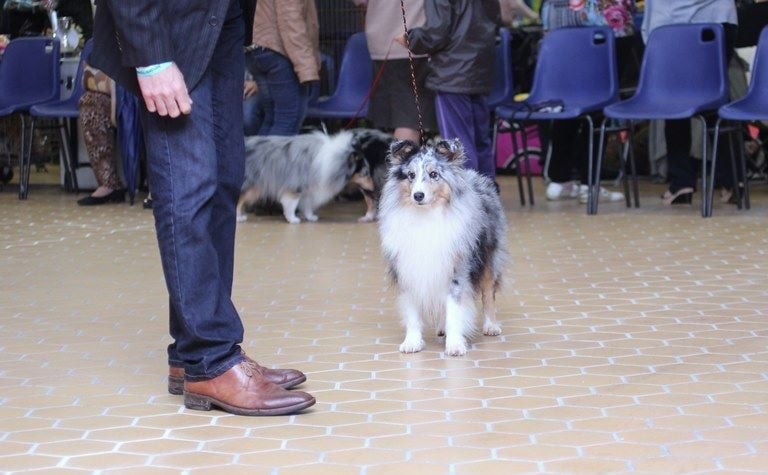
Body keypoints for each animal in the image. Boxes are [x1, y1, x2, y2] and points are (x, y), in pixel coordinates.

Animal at [238, 131, 374, 224]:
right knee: (239, 201)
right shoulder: (295, 186)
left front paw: (310, 217)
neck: (332, 160)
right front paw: (293, 219)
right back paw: (239, 218)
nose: (374, 187)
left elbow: (308, 204)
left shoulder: (310, 188)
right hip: (252, 186)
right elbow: (291, 204)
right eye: (365, 173)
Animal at [380, 139, 510, 356]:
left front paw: (455, 344)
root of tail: (476, 176)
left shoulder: (456, 270)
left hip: (489, 257)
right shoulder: (408, 269)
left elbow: (455, 308)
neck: (426, 217)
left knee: (488, 293)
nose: (418, 195)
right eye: (411, 175)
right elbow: (412, 311)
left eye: (434, 174)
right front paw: (412, 342)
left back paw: (491, 326)